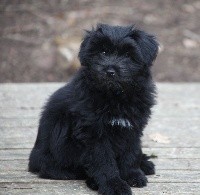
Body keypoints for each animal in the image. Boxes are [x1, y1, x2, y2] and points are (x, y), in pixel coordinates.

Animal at [28, 23, 159, 194]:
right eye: (102, 52)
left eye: (127, 55)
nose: (110, 71)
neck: (115, 95)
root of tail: (33, 160)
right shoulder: (93, 133)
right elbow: (103, 161)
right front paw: (113, 185)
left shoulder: (132, 128)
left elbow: (131, 152)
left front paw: (133, 175)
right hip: (60, 132)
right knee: (56, 169)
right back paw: (93, 182)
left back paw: (145, 163)